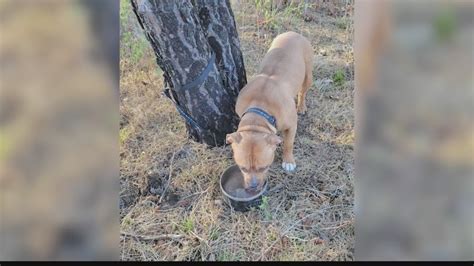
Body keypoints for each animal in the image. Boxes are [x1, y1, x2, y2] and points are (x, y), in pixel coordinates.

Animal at [225, 31, 312, 190]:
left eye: (264, 167)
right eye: (242, 168)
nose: (253, 187)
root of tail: (294, 33)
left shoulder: (291, 126)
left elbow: (288, 143)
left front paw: (288, 161)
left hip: (308, 74)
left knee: (303, 92)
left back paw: (301, 106)